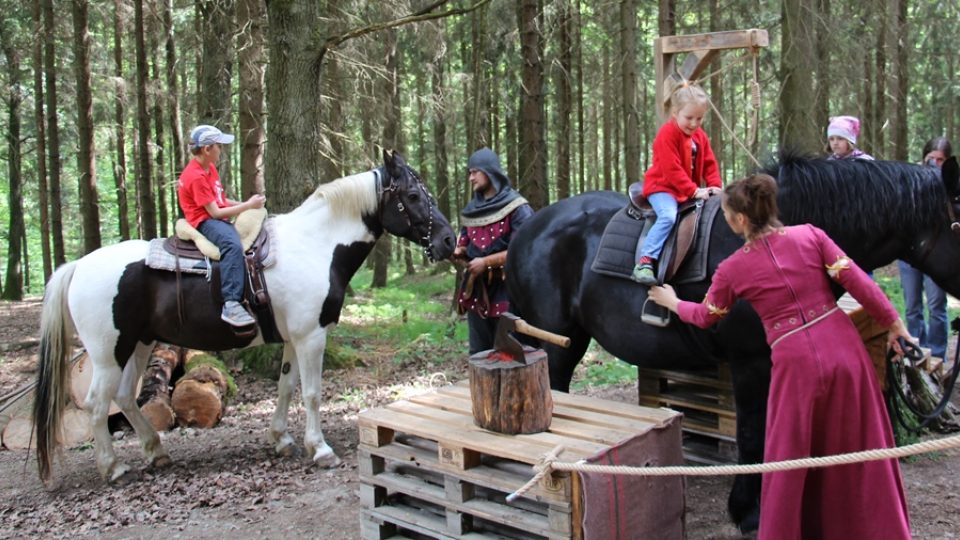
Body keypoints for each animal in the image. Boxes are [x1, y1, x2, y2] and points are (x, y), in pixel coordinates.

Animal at [35, 150, 456, 484]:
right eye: (413, 195)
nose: (449, 240)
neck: (316, 245)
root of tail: (76, 266)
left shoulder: (293, 337)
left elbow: (285, 387)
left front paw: (282, 440)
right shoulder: (312, 336)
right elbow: (312, 392)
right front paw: (320, 449)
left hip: (139, 343)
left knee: (124, 396)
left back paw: (156, 451)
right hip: (109, 352)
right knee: (96, 403)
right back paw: (114, 468)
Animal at [506, 152, 960, 532]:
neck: (772, 237)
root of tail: (528, 229)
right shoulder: (750, 360)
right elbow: (752, 432)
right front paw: (748, 510)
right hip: (555, 343)